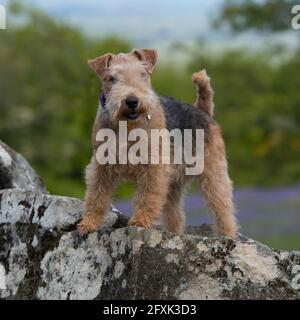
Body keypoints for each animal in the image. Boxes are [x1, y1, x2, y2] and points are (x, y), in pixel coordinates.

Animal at [78, 48, 238, 238]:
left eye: (143, 73)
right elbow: (96, 197)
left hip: (213, 173)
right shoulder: (101, 165)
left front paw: (140, 222)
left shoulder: (153, 167)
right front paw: (88, 224)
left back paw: (227, 235)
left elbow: (147, 196)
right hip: (173, 183)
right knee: (175, 215)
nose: (132, 101)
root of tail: (202, 111)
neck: (127, 127)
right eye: (112, 78)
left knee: (223, 208)